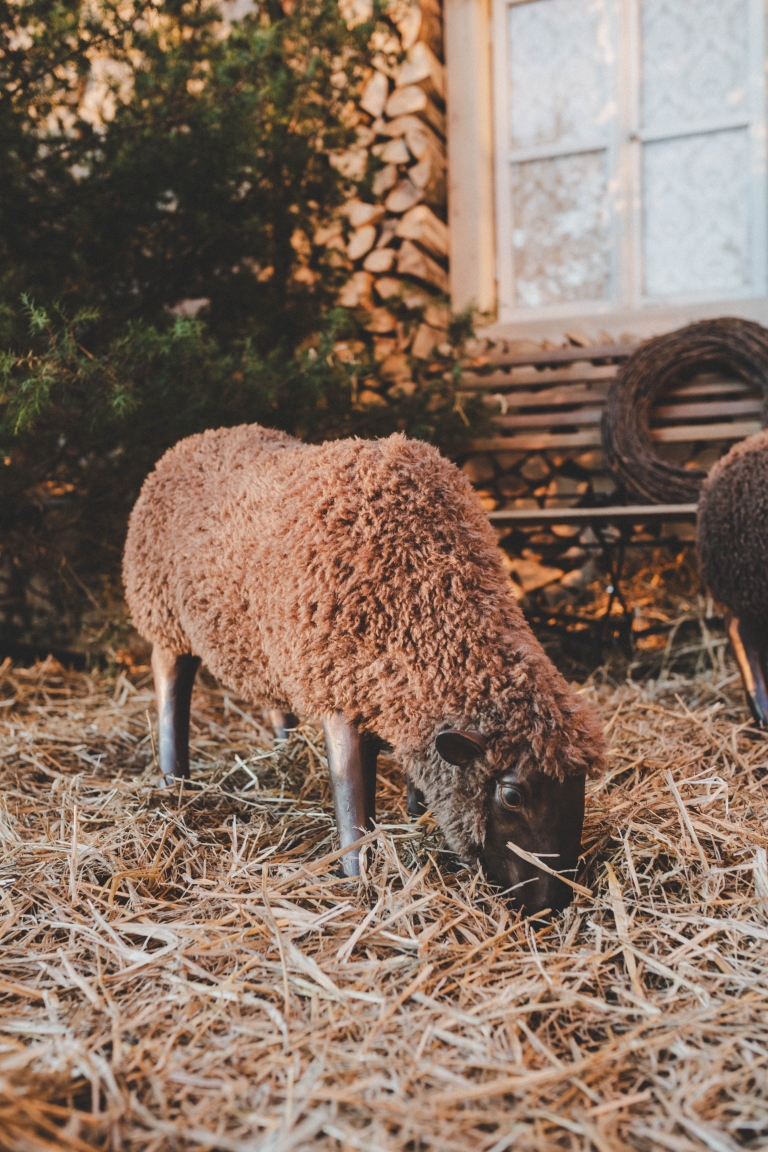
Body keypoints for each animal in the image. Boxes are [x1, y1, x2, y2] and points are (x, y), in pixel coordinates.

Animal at [124, 423, 607, 907]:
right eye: (512, 796)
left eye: (580, 783)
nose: (551, 903)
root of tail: (192, 441)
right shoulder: (343, 696)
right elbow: (352, 799)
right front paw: (358, 876)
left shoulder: (400, 696)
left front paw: (414, 817)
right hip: (163, 616)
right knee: (170, 688)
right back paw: (173, 779)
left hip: (263, 643)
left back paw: (283, 748)